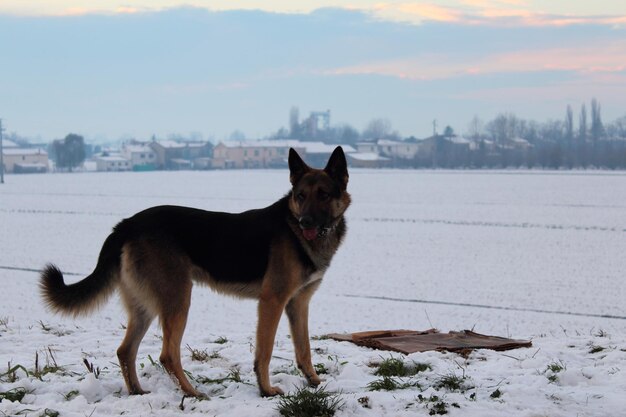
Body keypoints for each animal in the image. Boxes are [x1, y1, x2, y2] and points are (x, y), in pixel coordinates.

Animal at [40, 146, 352, 396]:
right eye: (300, 196)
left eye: (323, 195)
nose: (305, 221)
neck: (297, 232)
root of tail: (126, 224)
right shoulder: (272, 302)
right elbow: (265, 351)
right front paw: (266, 390)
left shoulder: (298, 304)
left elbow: (304, 348)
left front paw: (314, 382)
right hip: (179, 298)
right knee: (167, 355)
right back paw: (191, 393)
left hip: (145, 306)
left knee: (126, 350)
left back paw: (138, 392)